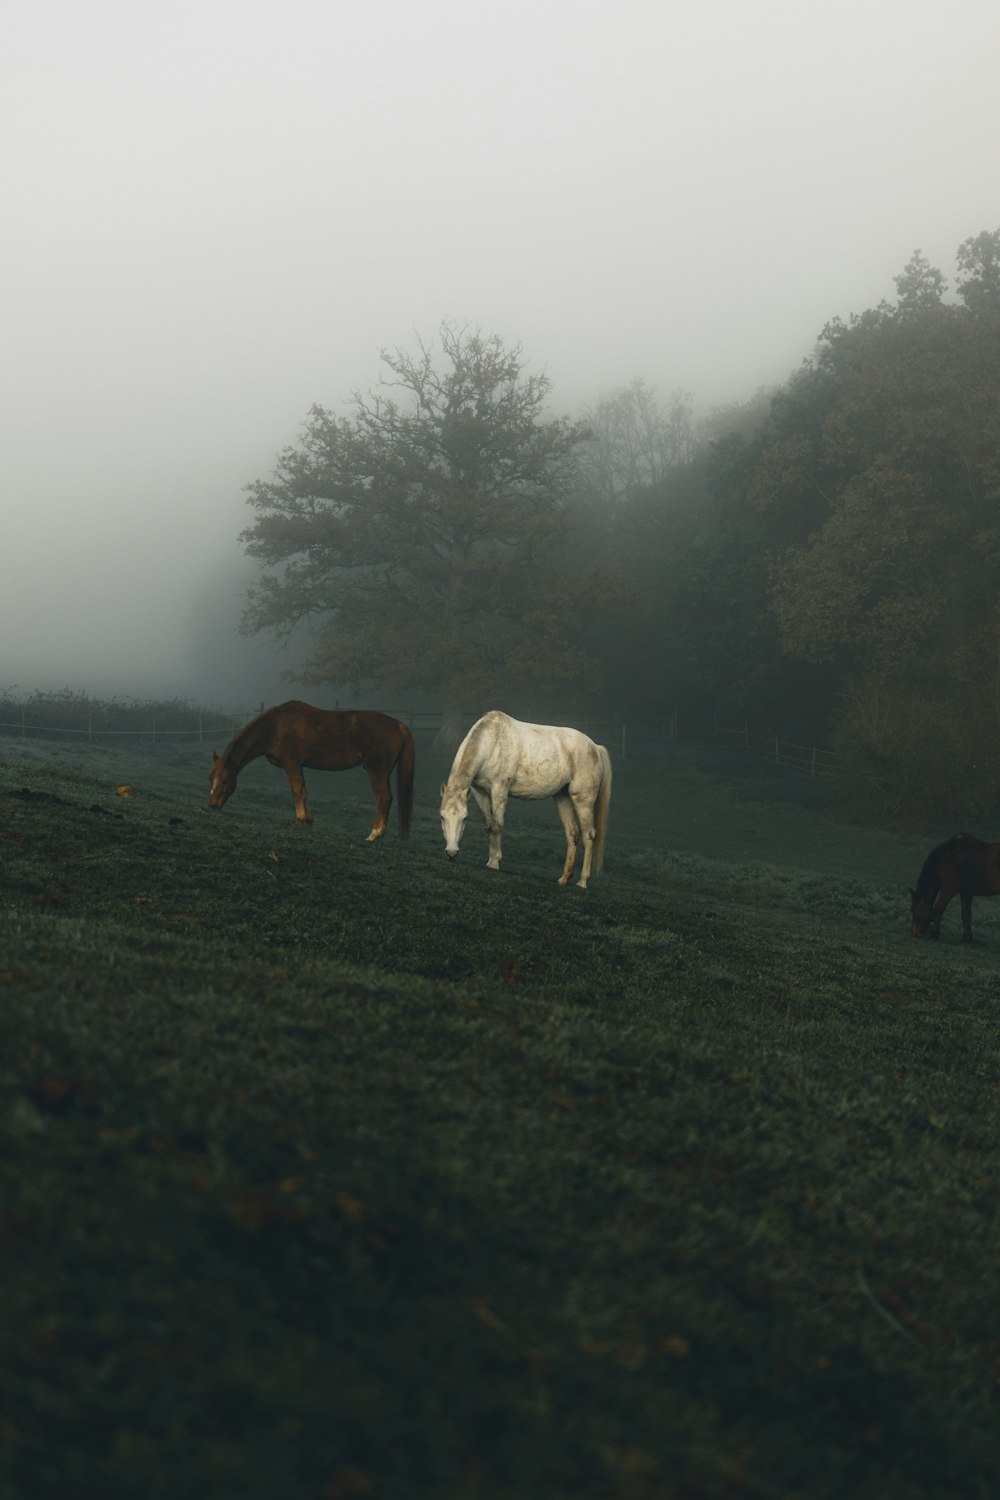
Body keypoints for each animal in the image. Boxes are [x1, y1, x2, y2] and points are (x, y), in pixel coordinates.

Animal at [211, 699, 413, 840]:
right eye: (210, 778)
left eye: (225, 780)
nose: (212, 805)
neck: (275, 726)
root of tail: (400, 725)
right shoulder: (298, 766)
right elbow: (304, 791)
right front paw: (308, 820)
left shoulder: (291, 763)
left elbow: (297, 791)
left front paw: (301, 819)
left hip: (376, 771)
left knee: (383, 799)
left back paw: (374, 835)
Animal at [440, 708, 614, 882]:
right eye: (442, 817)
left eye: (465, 818)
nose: (452, 852)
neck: (492, 743)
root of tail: (595, 747)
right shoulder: (480, 792)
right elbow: (488, 826)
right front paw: (490, 860)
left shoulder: (499, 790)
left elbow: (497, 825)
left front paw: (495, 863)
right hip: (562, 797)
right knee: (573, 834)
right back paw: (564, 879)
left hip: (583, 800)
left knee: (589, 835)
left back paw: (582, 881)